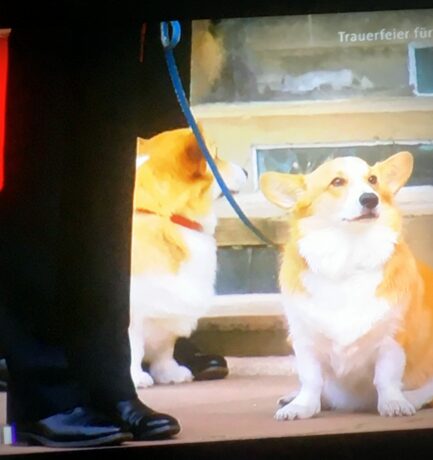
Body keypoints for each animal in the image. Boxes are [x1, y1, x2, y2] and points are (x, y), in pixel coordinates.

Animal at [128, 126, 246, 388]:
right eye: (215, 156)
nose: (245, 171)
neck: (164, 214)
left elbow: (165, 347)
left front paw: (168, 372)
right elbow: (133, 346)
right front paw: (135, 377)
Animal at [260, 152, 433, 420]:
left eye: (373, 180)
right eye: (337, 182)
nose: (370, 199)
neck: (348, 255)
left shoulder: (393, 339)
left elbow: (386, 378)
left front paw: (393, 403)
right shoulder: (305, 340)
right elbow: (311, 380)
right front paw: (302, 406)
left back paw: (412, 399)